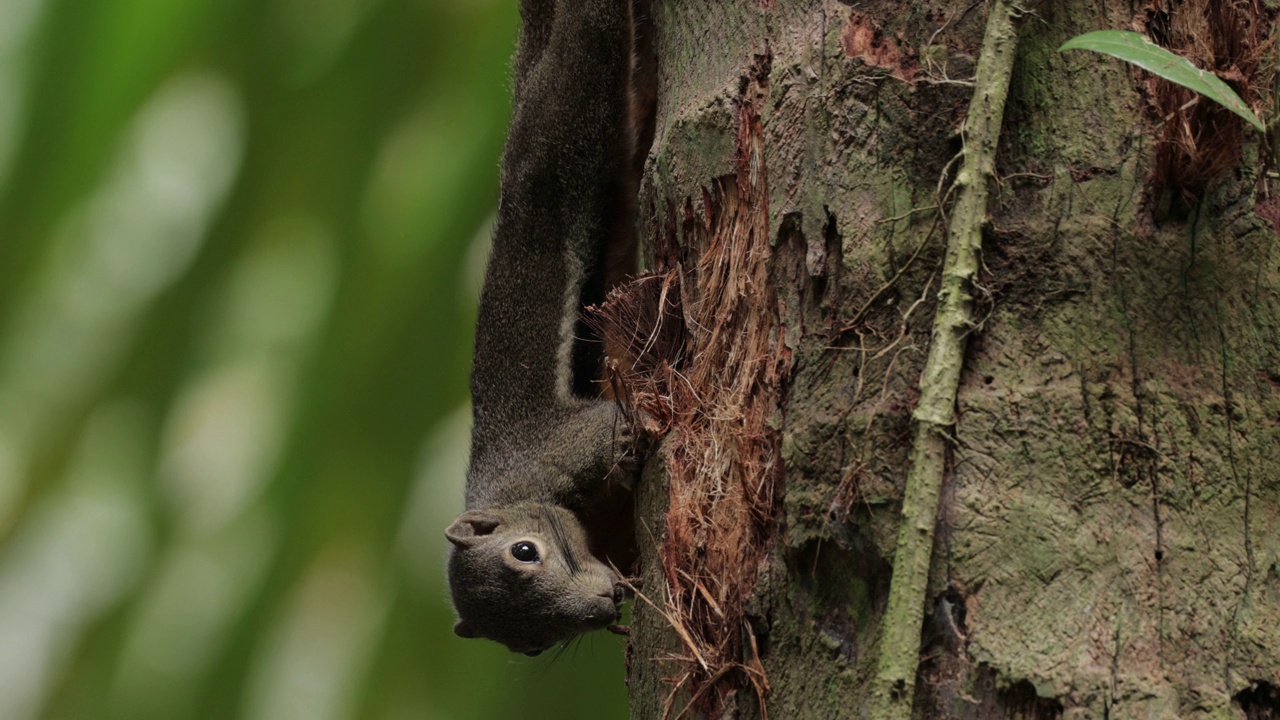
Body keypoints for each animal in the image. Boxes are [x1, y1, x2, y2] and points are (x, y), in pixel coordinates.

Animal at [445, 0, 655, 653]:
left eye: (524, 551)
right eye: (529, 644)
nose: (603, 605)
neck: (517, 492)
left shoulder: (564, 447)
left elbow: (610, 426)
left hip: (570, 119)